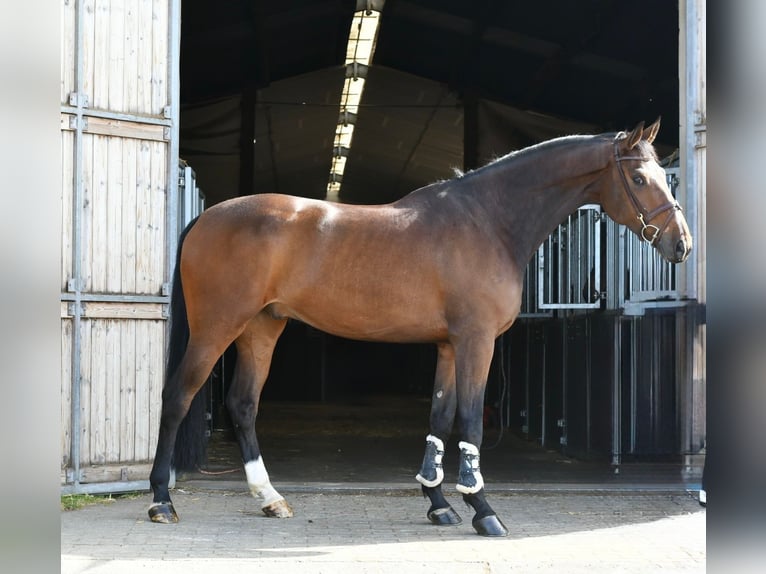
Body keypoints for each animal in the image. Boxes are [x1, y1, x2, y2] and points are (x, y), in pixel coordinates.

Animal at [148, 119, 692, 536]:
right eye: (639, 178)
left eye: (660, 175)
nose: (681, 244)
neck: (487, 221)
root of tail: (206, 219)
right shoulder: (475, 342)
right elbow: (469, 421)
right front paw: (483, 510)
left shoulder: (448, 346)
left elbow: (439, 418)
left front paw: (439, 505)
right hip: (218, 327)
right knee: (177, 397)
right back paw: (161, 501)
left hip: (262, 327)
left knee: (242, 404)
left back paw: (270, 498)